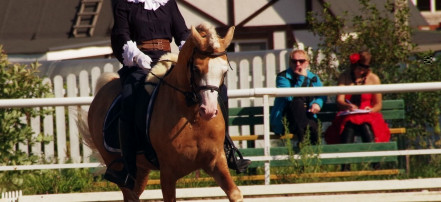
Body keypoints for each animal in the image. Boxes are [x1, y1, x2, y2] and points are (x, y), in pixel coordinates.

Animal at [77, 22, 242, 201]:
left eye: (224, 71)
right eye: (196, 69)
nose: (209, 111)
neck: (191, 117)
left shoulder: (216, 161)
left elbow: (235, 194)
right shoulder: (168, 173)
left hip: (141, 171)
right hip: (119, 166)